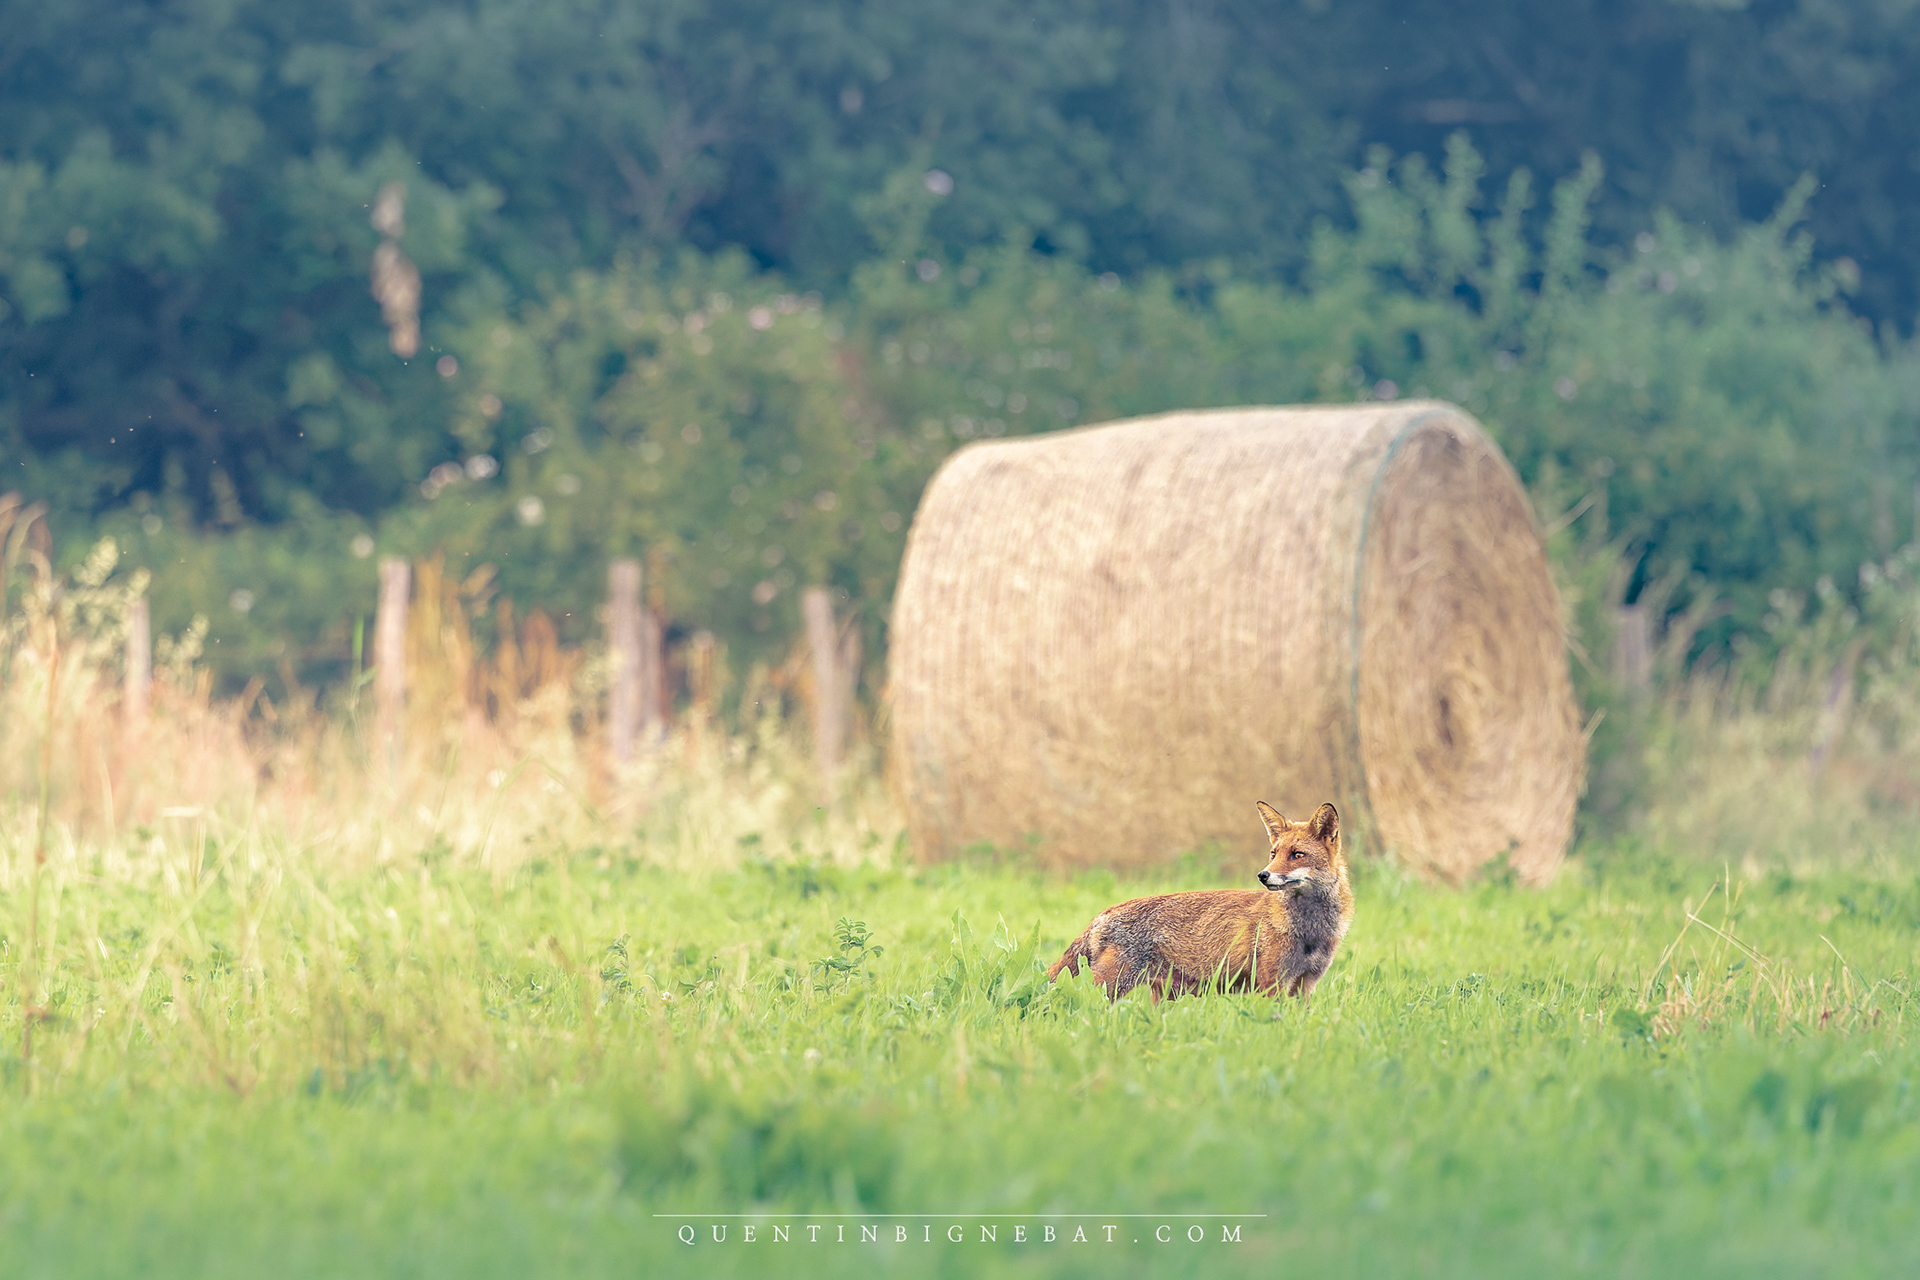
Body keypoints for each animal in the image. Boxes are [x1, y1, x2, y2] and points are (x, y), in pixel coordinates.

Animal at [1046, 801, 1354, 1001]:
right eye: (1273, 853)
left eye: (1297, 855)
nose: (1263, 875)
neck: (1310, 931)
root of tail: (1102, 914)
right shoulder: (1271, 983)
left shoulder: (1305, 985)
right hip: (1111, 987)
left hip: (1161, 995)